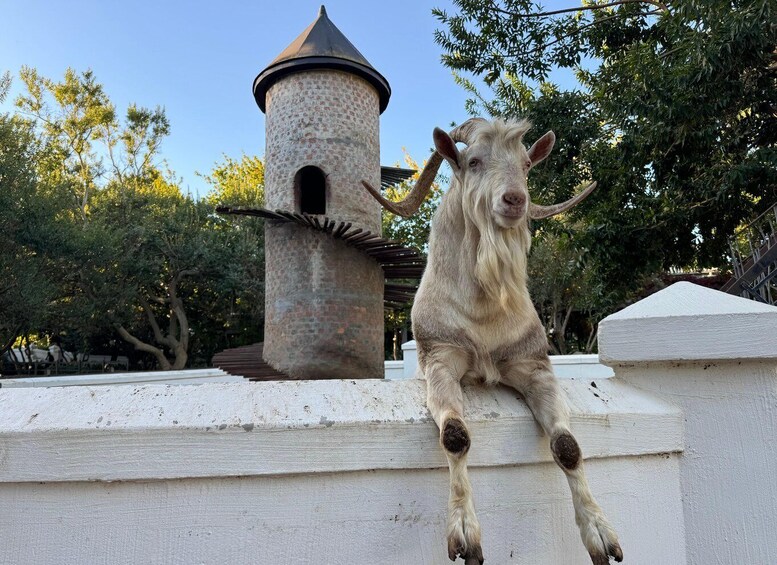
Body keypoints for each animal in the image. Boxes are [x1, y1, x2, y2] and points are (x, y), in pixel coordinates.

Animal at [362, 118, 622, 565]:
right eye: (474, 161)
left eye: (526, 165)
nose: (514, 199)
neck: (485, 312)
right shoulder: (441, 359)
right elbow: (455, 435)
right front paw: (466, 539)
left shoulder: (533, 365)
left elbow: (568, 445)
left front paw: (602, 537)